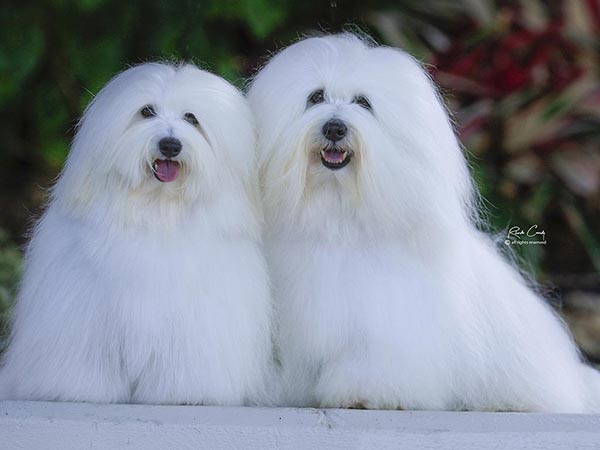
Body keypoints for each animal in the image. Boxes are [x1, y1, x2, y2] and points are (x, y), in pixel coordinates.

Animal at [1, 62, 274, 404]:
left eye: (191, 118)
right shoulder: (84, 313)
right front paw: (78, 390)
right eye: (146, 112)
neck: (157, 211)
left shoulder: (197, 322)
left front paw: (186, 393)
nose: (170, 145)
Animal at [247, 33, 600, 414]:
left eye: (363, 103)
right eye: (315, 97)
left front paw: (365, 393)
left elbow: (374, 359)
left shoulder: (385, 321)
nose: (335, 127)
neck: (336, 214)